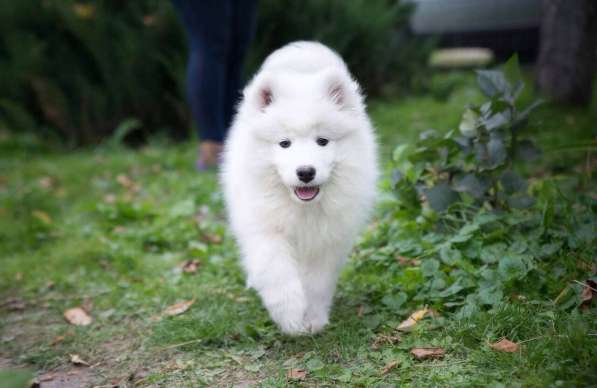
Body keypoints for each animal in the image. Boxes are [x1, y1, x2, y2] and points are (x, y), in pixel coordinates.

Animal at [219, 41, 378, 334]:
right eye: (284, 143)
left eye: (322, 141)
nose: (305, 172)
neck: (302, 208)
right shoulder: (264, 228)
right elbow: (276, 270)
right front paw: (290, 315)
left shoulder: (328, 239)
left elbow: (317, 281)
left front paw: (312, 319)